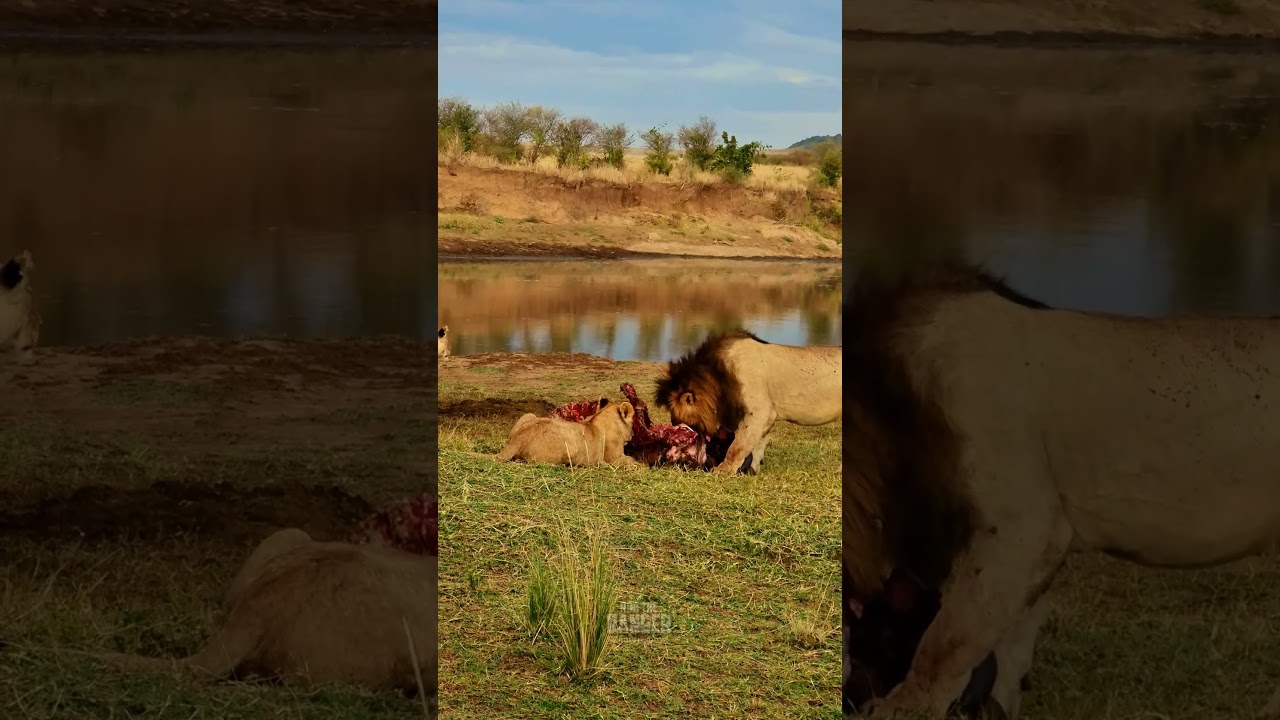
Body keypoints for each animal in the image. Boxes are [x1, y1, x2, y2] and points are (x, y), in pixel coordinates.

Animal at [496, 397, 641, 467]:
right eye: (633, 424)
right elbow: (633, 461)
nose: (632, 435)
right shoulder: (615, 459)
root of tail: (518, 438)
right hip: (568, 445)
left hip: (529, 415)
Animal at [655, 329, 841, 474]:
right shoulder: (765, 417)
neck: (717, 377)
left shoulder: (760, 412)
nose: (677, 428)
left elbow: (738, 446)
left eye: (682, 422)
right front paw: (752, 471)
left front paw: (723, 470)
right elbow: (756, 445)